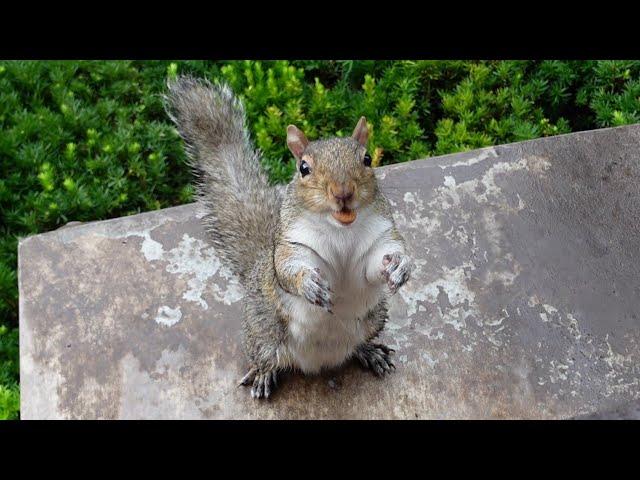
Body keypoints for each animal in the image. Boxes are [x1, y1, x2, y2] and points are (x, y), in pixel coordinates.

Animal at [165, 76, 412, 398]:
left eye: (368, 159)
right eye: (303, 168)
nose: (343, 192)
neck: (340, 230)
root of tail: (320, 361)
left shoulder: (379, 236)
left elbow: (374, 265)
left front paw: (399, 266)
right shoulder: (292, 244)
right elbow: (288, 268)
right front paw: (308, 283)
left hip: (372, 319)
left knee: (358, 344)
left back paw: (370, 352)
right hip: (264, 331)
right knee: (265, 355)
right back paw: (263, 374)